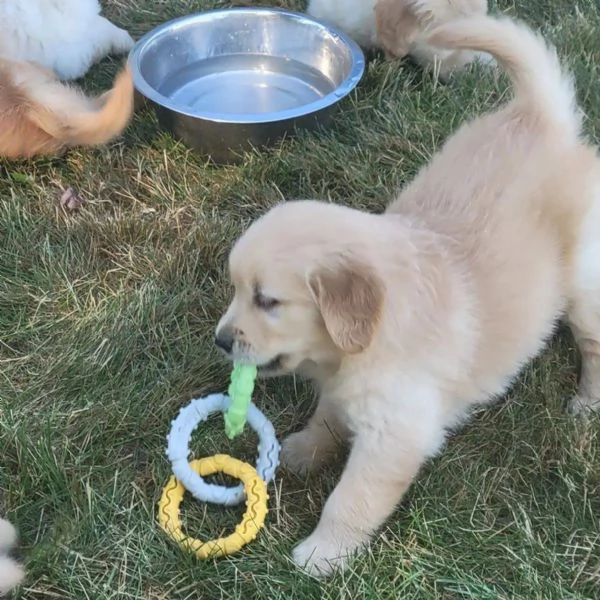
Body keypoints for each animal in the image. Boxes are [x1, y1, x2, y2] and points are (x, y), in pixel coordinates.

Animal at [217, 15, 600, 576]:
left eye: (267, 301)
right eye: (237, 290)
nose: (221, 341)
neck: (361, 343)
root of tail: (541, 117)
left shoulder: (395, 435)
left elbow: (351, 500)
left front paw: (321, 555)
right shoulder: (346, 391)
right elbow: (328, 418)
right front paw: (305, 450)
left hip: (584, 285)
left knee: (594, 345)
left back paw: (587, 403)